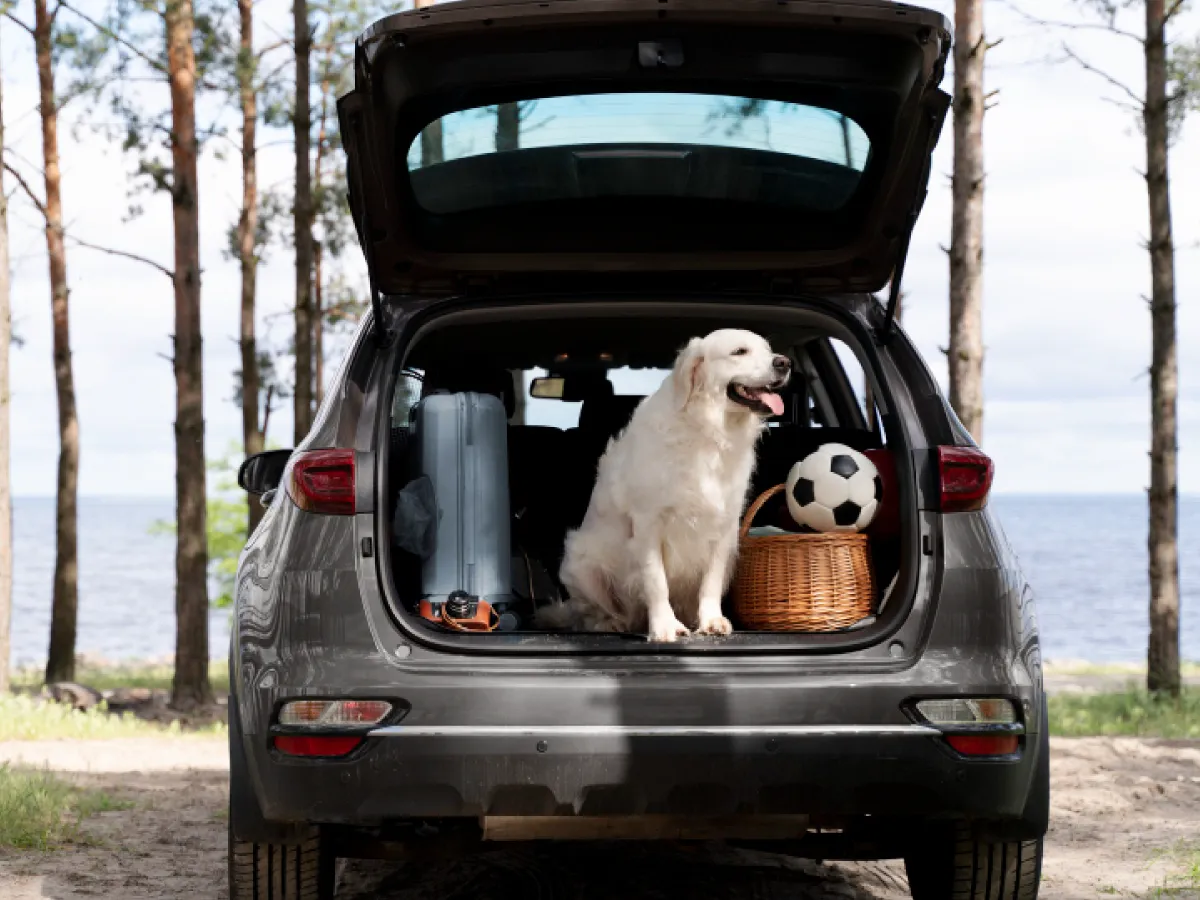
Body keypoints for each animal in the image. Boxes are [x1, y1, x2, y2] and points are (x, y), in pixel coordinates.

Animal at [540, 331, 792, 643]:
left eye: (768, 350)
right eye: (739, 351)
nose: (784, 363)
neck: (708, 430)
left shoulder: (724, 524)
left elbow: (711, 581)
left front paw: (711, 620)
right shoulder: (649, 522)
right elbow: (656, 580)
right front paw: (665, 626)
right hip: (581, 563)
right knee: (589, 615)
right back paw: (609, 623)